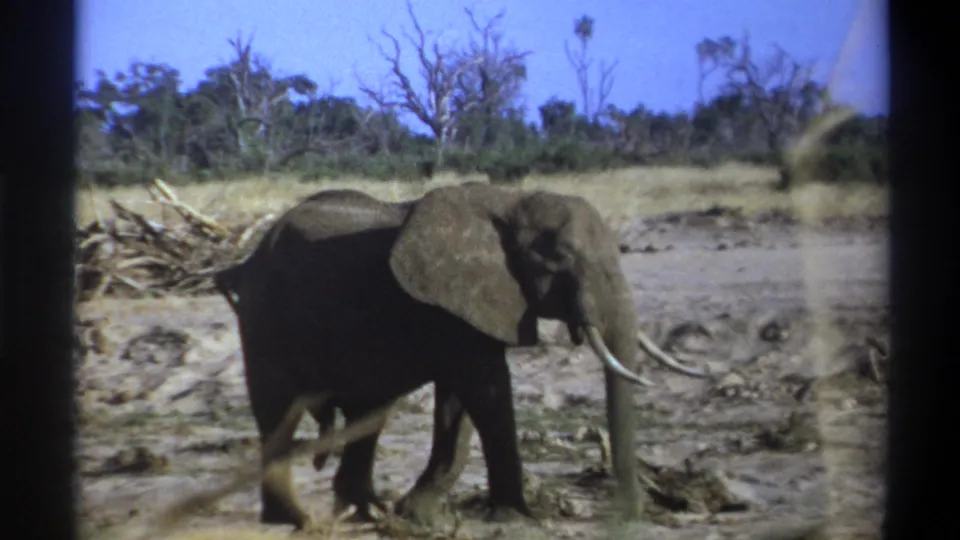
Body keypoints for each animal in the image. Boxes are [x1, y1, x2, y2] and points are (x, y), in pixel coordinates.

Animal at [213, 183, 709, 530]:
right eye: (560, 258)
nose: (629, 518)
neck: (509, 201)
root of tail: (244, 261)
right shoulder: (451, 304)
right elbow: (486, 389)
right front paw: (517, 517)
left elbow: (459, 402)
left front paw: (419, 515)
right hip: (266, 318)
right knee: (278, 413)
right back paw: (298, 521)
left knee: (368, 413)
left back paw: (367, 513)